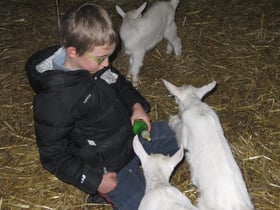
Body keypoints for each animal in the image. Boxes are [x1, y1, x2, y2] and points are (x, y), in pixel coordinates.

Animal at [163, 79, 255, 210]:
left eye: (176, 98)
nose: (178, 111)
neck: (196, 105)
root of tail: (237, 205)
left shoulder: (184, 139)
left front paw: (172, 119)